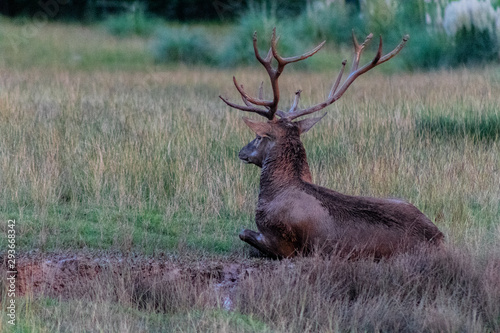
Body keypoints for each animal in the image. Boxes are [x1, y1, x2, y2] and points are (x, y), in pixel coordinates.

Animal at [219, 28, 442, 258]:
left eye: (259, 137)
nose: (242, 152)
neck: (276, 191)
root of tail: (439, 239)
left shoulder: (283, 243)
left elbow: (243, 232)